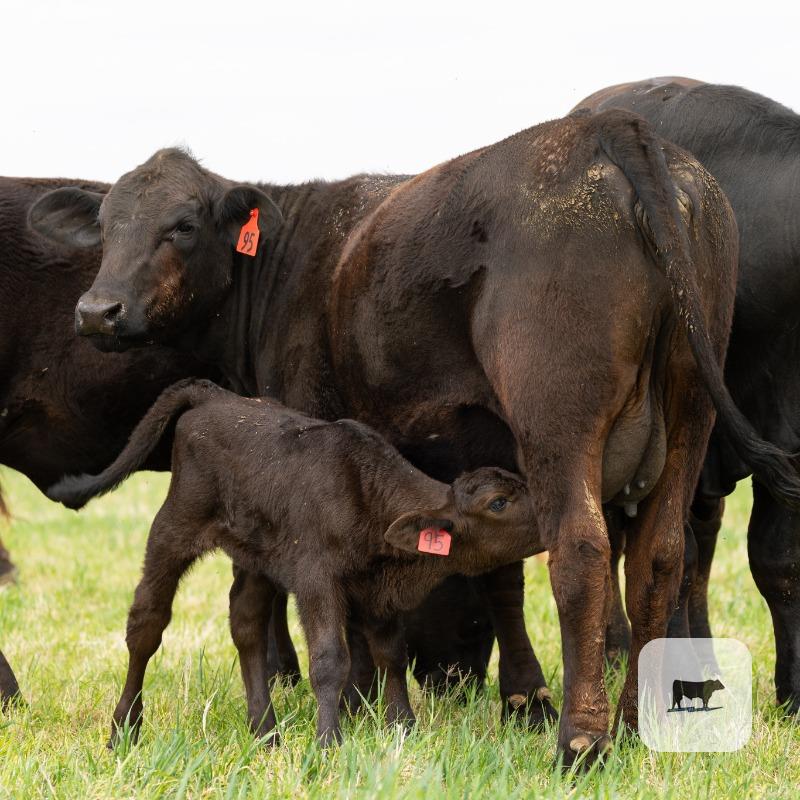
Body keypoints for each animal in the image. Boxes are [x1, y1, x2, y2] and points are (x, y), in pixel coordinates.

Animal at [47, 378, 546, 747]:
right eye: (498, 502)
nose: (552, 514)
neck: (369, 494)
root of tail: (216, 395)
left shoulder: (376, 590)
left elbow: (391, 654)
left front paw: (404, 728)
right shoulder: (316, 578)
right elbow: (329, 659)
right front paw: (330, 743)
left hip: (256, 554)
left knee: (246, 623)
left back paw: (265, 731)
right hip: (174, 524)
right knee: (146, 624)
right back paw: (123, 729)